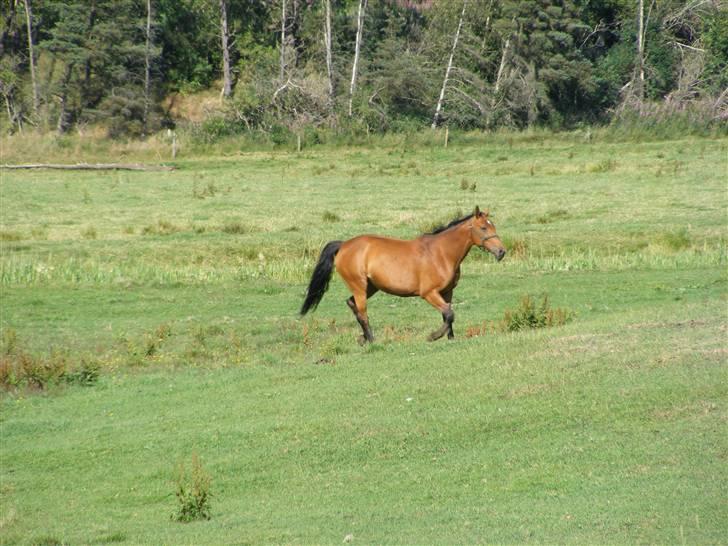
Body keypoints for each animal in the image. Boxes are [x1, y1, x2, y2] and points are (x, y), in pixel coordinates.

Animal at [298, 206, 504, 342]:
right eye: (484, 228)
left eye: (493, 226)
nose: (502, 252)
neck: (441, 253)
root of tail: (344, 245)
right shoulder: (429, 293)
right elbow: (449, 313)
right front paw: (434, 336)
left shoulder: (447, 292)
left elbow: (448, 314)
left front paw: (450, 338)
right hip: (359, 286)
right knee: (362, 311)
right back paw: (372, 339)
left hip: (371, 287)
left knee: (352, 304)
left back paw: (364, 338)